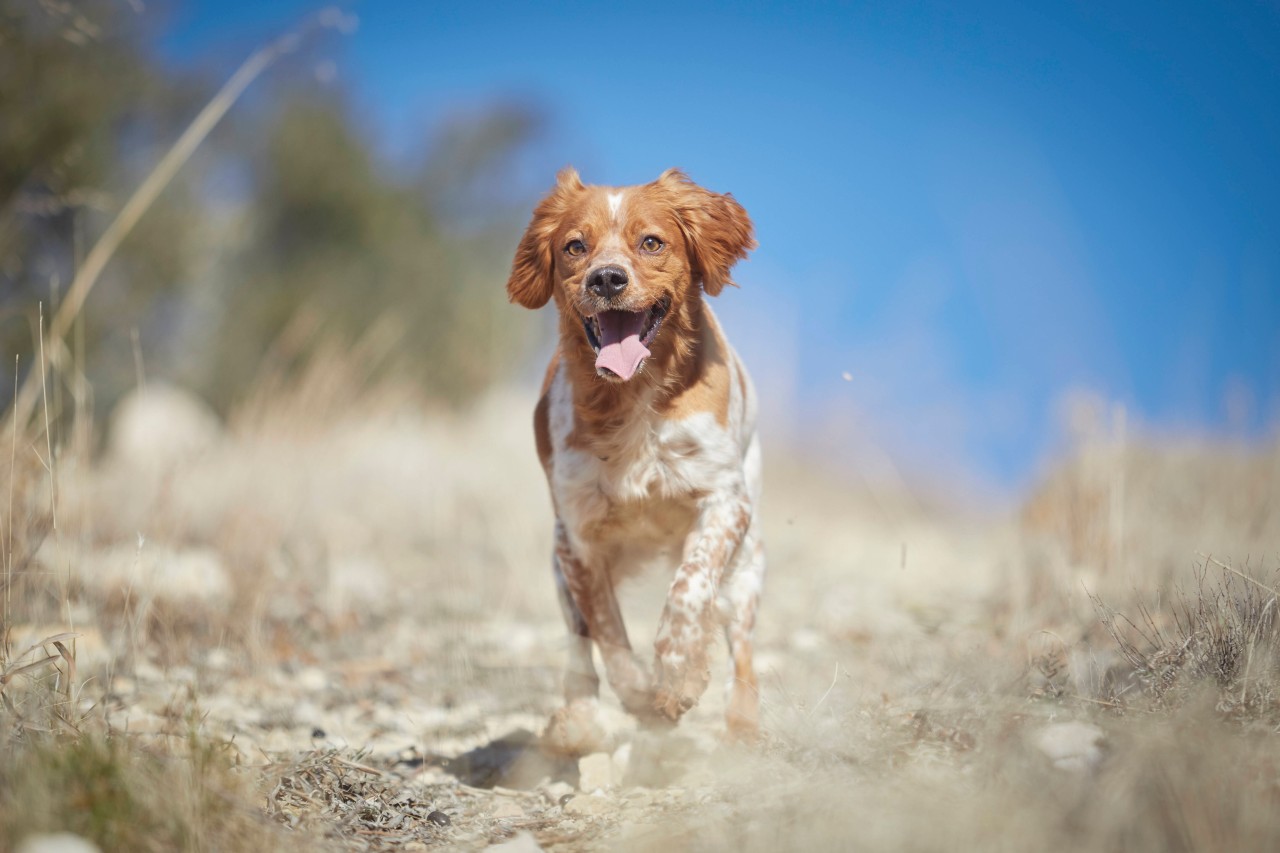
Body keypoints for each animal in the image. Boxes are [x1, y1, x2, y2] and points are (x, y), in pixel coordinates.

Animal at [504, 167, 762, 753]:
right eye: (575, 246)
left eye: (651, 242)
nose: (606, 280)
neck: (634, 398)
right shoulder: (578, 538)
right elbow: (609, 635)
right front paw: (644, 696)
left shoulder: (725, 503)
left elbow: (689, 589)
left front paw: (676, 674)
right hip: (559, 571)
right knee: (580, 648)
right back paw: (576, 722)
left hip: (747, 566)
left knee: (741, 648)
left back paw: (743, 727)